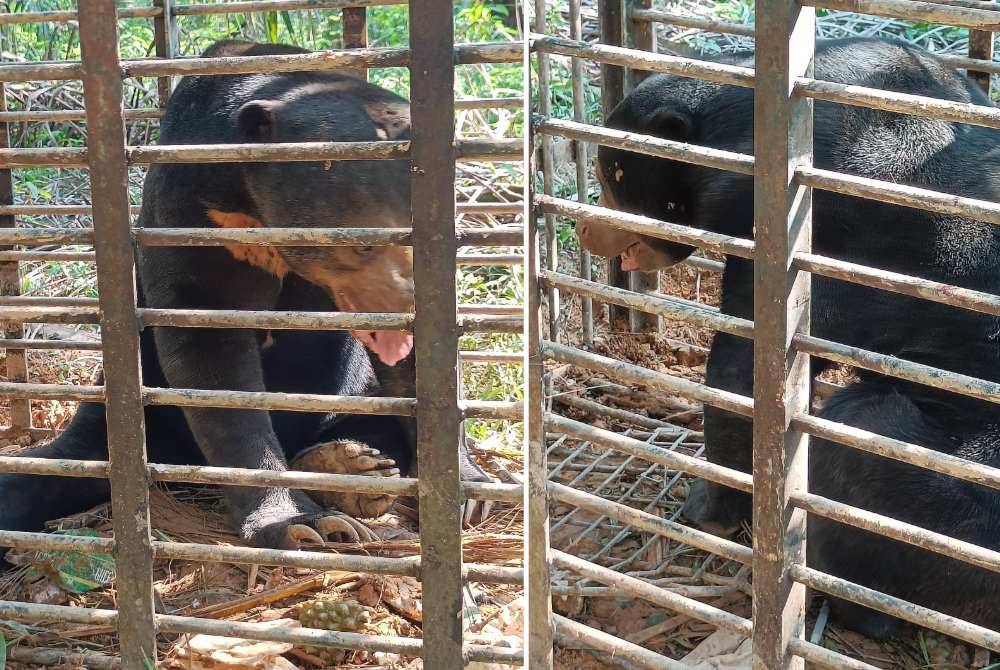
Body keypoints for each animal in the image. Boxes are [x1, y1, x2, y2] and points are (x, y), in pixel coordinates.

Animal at [0, 40, 488, 556]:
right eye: (363, 244)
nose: (407, 305)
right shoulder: (192, 216)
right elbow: (212, 358)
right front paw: (298, 524)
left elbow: (418, 375)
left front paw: (467, 488)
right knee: (47, 473)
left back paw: (349, 467)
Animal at [580, 38, 1000, 640]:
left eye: (612, 176)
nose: (586, 229)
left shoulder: (829, 240)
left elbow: (744, 375)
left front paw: (707, 506)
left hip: (955, 498)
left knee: (862, 444)